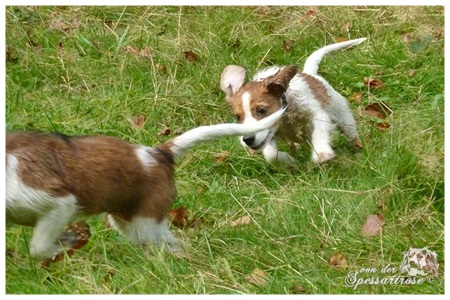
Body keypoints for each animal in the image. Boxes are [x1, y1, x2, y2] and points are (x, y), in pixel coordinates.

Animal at [4, 108, 284, 260]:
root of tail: (158, 153)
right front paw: (68, 241)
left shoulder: (59, 202)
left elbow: (38, 246)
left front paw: (64, 244)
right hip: (128, 221)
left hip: (144, 224)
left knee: (175, 245)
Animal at [221, 37, 366, 165]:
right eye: (238, 116)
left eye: (261, 110)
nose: (247, 139)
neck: (285, 115)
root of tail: (311, 74)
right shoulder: (270, 134)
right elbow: (270, 154)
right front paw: (288, 161)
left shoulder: (316, 114)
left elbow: (319, 132)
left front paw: (322, 154)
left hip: (341, 113)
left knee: (350, 131)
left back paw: (357, 147)